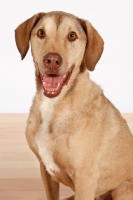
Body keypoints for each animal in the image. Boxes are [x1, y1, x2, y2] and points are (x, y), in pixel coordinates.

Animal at [14, 11, 133, 200]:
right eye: (41, 33)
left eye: (72, 36)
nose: (52, 60)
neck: (54, 105)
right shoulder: (45, 170)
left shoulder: (85, 180)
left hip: (122, 188)